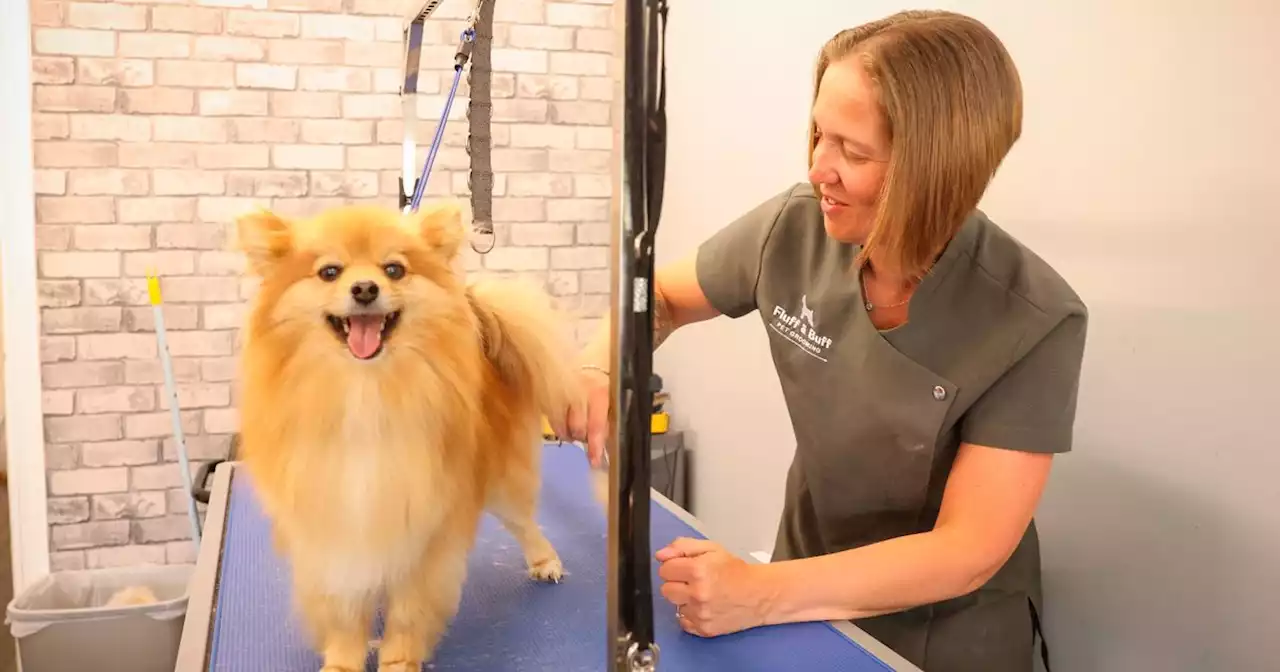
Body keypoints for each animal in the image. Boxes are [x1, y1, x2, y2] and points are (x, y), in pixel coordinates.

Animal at [234, 202, 581, 665]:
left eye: (394, 269)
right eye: (329, 272)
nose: (365, 288)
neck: (365, 392)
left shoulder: (428, 531)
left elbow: (408, 614)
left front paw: (399, 661)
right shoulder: (330, 527)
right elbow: (344, 612)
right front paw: (342, 660)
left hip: (503, 481)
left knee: (524, 521)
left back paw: (545, 561)